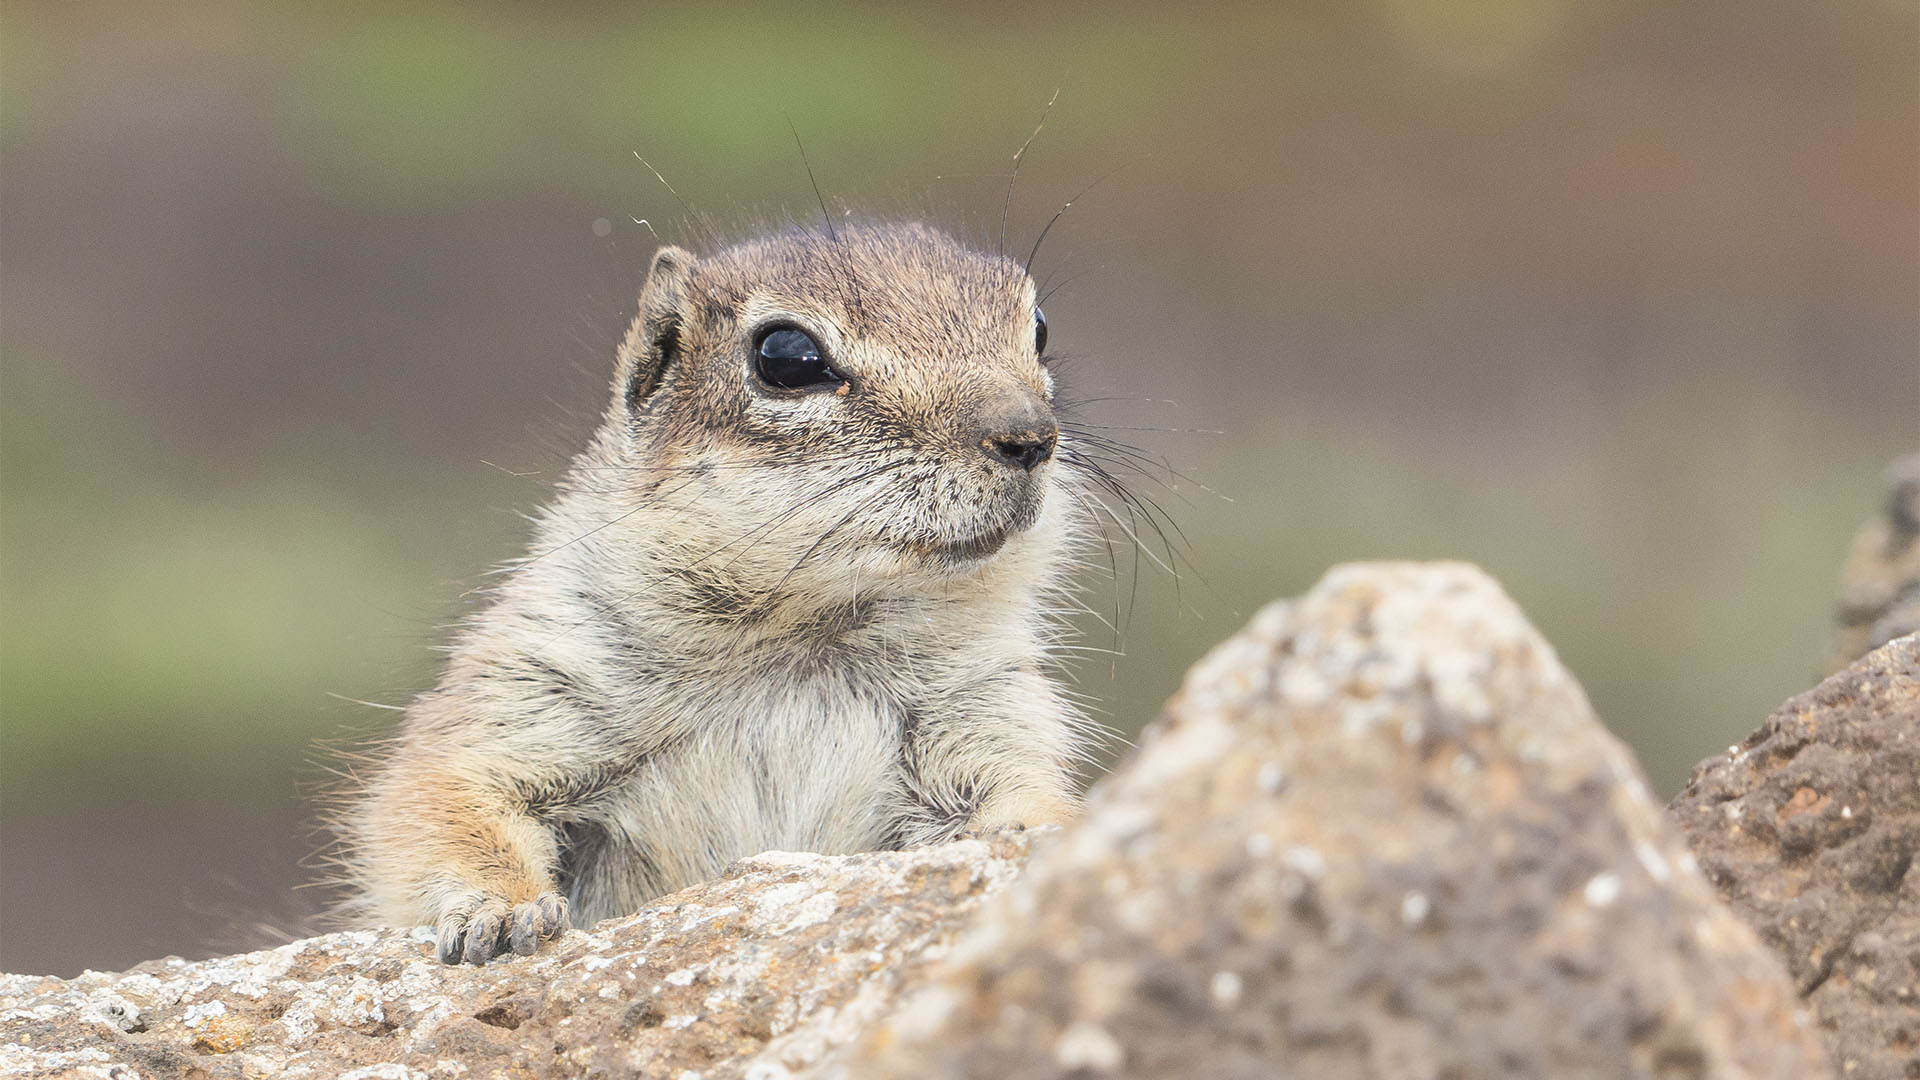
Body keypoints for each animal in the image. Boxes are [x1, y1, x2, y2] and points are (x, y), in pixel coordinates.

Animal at [337, 219, 1105, 957]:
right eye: (787, 357)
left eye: (1038, 326)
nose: (1030, 437)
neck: (806, 639)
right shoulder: (531, 682)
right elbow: (442, 800)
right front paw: (501, 914)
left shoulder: (989, 703)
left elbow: (1024, 792)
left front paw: (1034, 834)